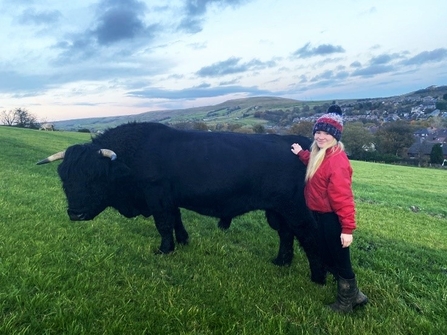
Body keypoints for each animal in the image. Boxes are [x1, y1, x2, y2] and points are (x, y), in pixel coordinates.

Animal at [36, 122, 328, 284]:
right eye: (65, 178)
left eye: (95, 177)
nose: (75, 213)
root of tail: (301, 143)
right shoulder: (169, 198)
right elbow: (176, 220)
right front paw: (183, 241)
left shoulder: (156, 196)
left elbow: (164, 224)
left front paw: (165, 249)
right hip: (277, 211)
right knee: (286, 234)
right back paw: (281, 262)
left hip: (296, 209)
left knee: (310, 237)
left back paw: (318, 277)